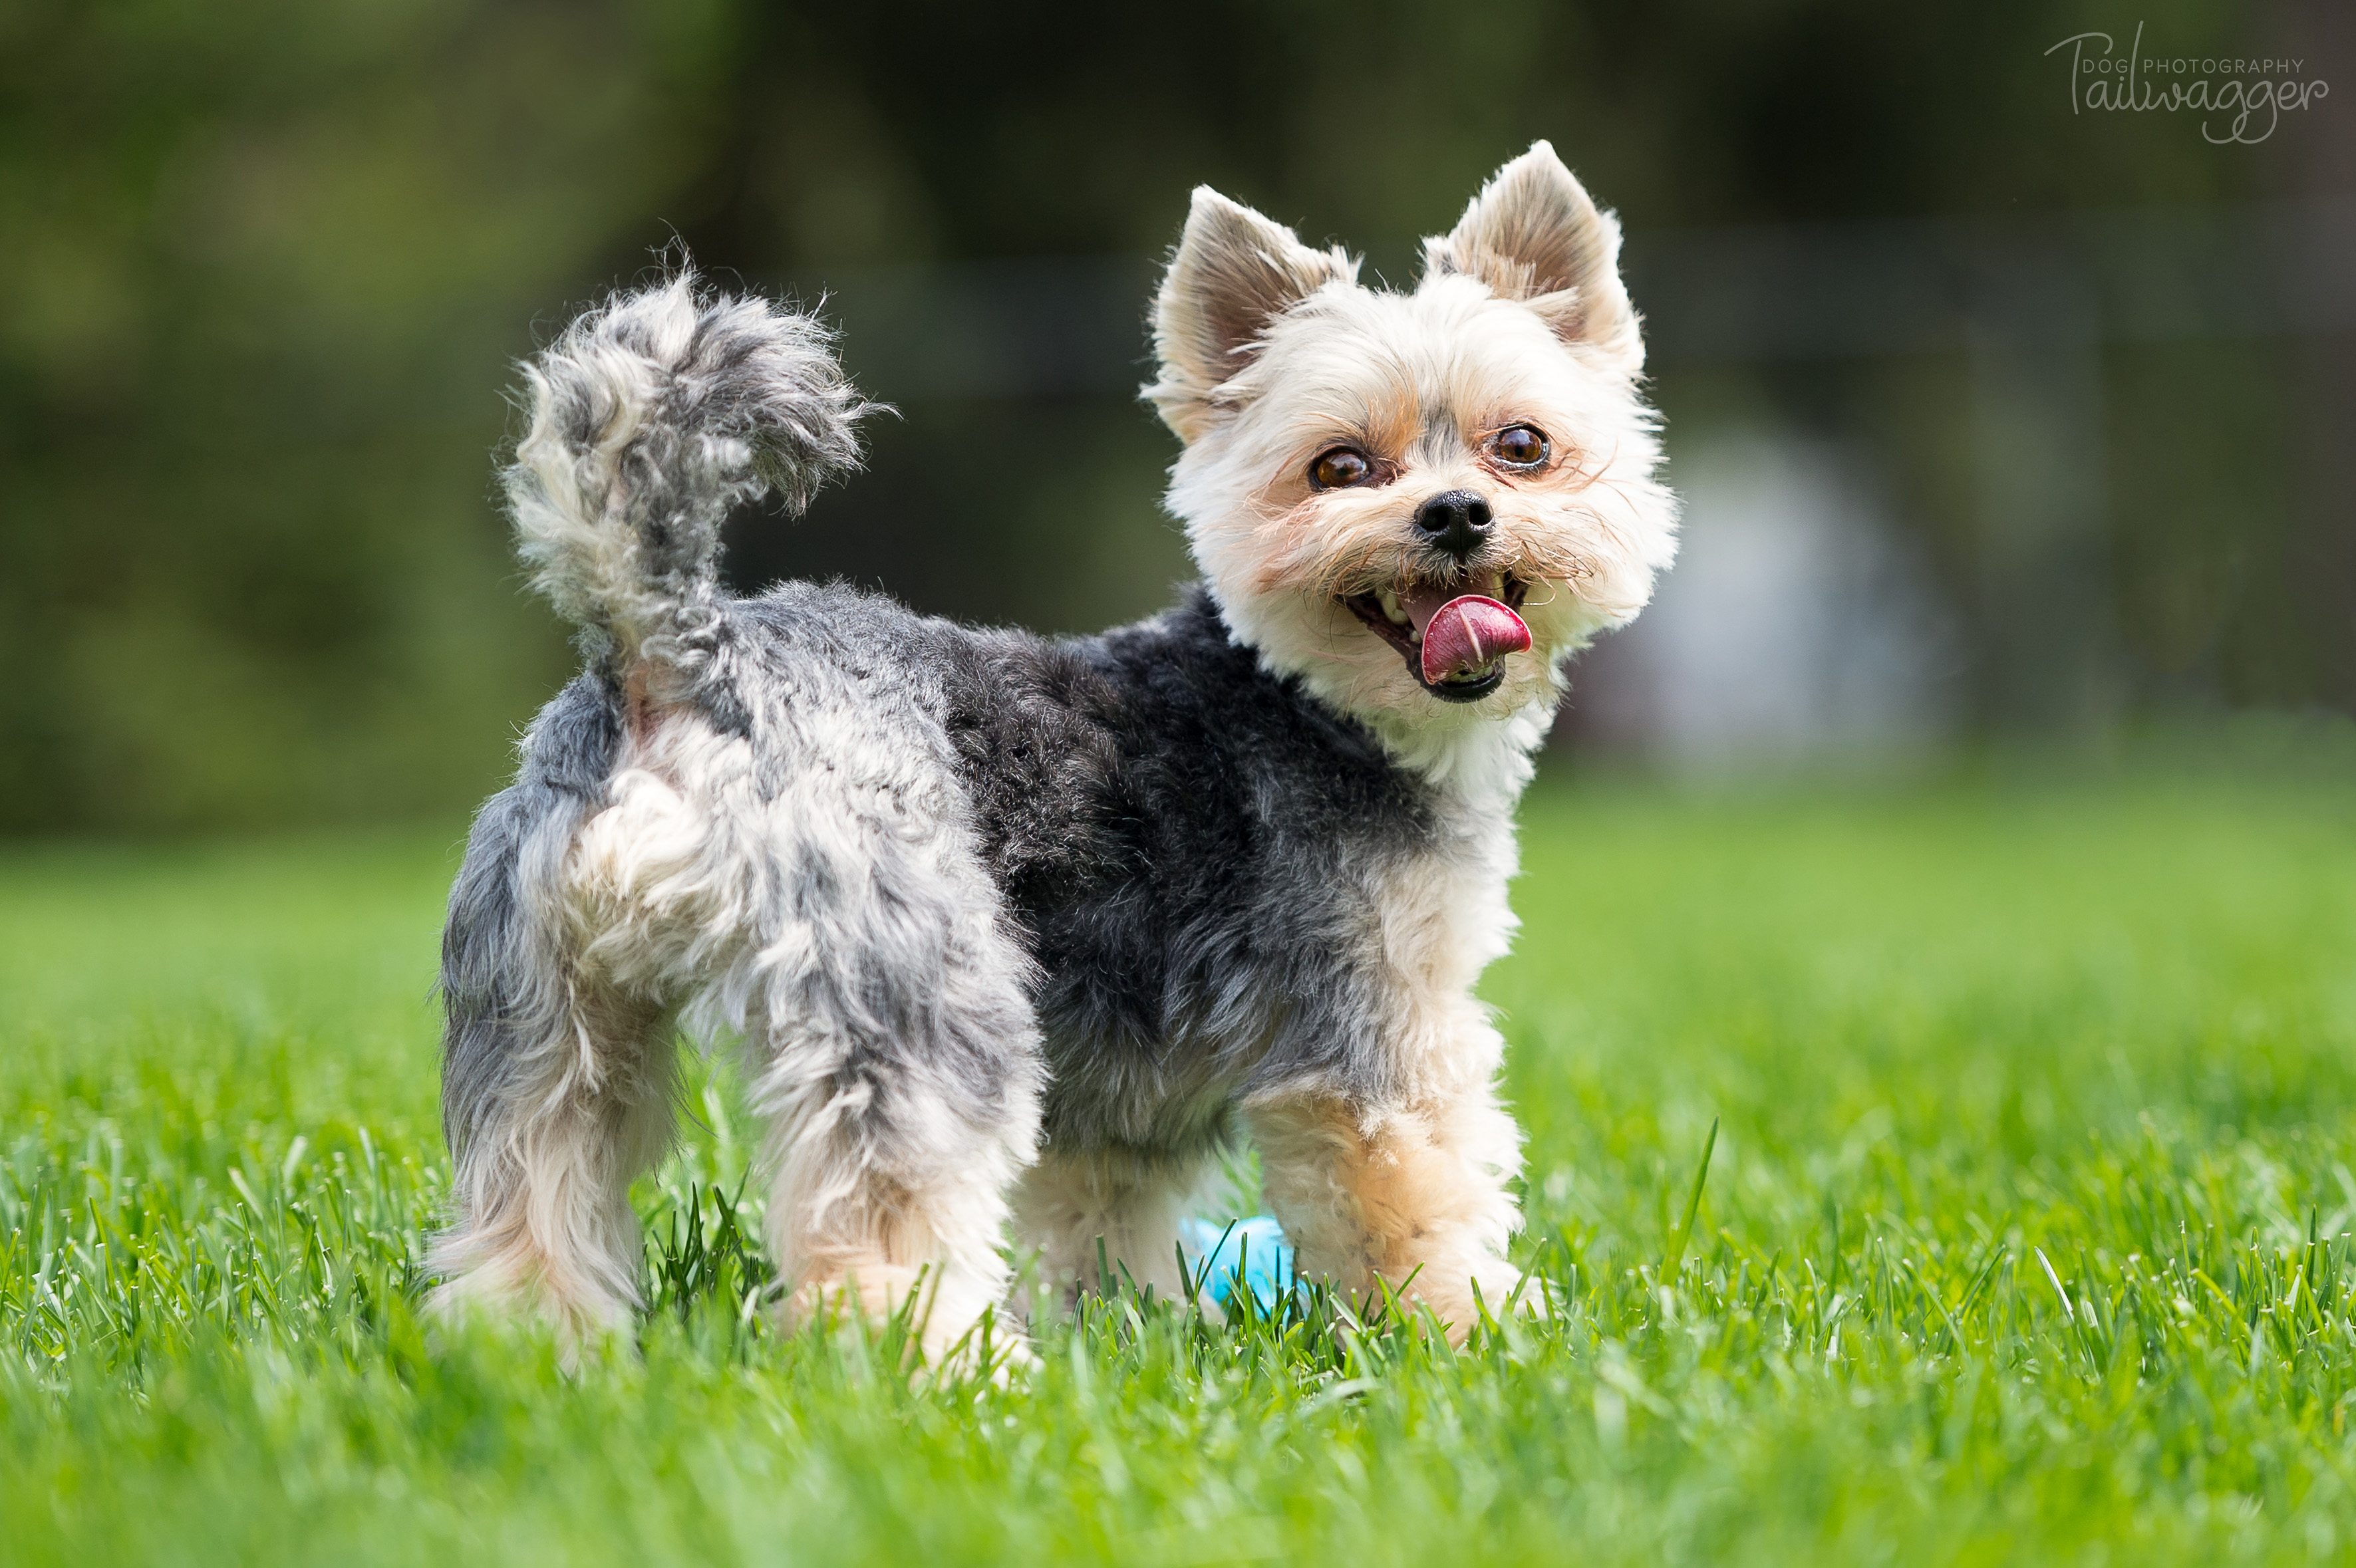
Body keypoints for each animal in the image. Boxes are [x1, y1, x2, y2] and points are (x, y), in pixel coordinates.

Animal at [428, 140, 1677, 1347]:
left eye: (1521, 445)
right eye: (1338, 468)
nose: (1455, 513)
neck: (1307, 699)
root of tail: (679, 661)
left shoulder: (1115, 1105)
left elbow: (1097, 1222)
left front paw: (1125, 1331)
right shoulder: (1370, 1032)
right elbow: (1417, 1200)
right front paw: (1481, 1331)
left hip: (541, 1004)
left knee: (527, 1194)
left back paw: (529, 1354)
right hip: (919, 991)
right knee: (878, 1232)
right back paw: (949, 1368)